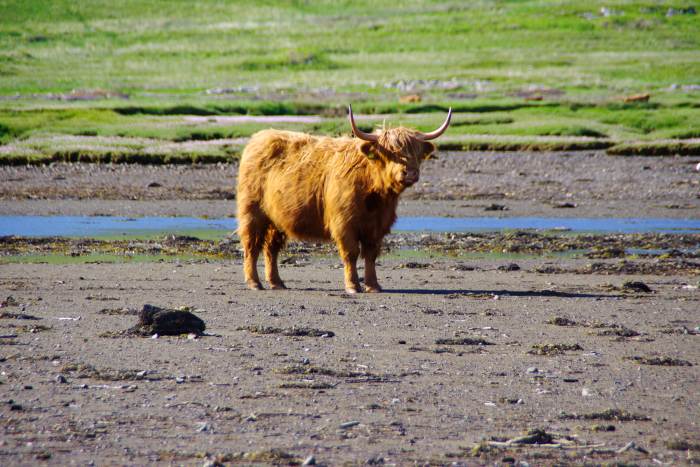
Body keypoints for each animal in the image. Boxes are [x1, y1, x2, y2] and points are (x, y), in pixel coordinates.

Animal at [238, 108, 452, 294]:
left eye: (417, 153)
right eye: (391, 152)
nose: (411, 173)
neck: (374, 197)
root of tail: (259, 138)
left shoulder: (377, 227)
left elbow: (371, 255)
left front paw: (373, 286)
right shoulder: (344, 224)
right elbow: (351, 254)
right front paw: (352, 286)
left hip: (277, 220)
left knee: (271, 249)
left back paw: (276, 283)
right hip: (252, 213)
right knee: (251, 246)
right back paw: (254, 283)